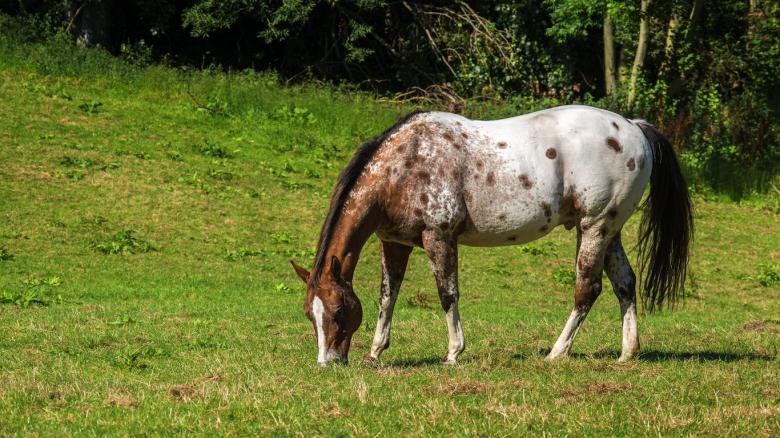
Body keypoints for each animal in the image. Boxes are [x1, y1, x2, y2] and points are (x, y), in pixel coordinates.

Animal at [290, 105, 692, 366]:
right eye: (311, 314)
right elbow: (387, 297)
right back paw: (627, 353)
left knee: (587, 290)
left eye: (338, 311)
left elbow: (447, 295)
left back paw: (556, 352)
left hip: (594, 227)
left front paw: (454, 353)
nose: (328, 362)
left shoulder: (439, 238)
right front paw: (375, 352)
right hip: (609, 230)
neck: (406, 165)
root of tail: (633, 127)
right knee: (625, 283)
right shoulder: (395, 243)